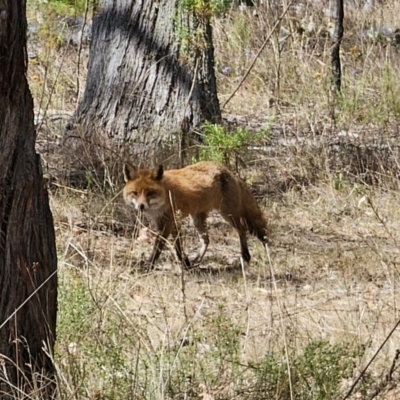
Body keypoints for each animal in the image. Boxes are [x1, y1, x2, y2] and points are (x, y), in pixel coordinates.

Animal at [122, 162, 268, 268]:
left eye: (150, 193)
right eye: (135, 193)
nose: (141, 206)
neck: (166, 193)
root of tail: (227, 170)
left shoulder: (168, 224)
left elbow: (158, 248)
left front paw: (148, 265)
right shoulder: (171, 223)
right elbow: (179, 248)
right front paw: (186, 264)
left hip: (229, 215)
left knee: (242, 230)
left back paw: (245, 257)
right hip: (197, 219)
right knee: (206, 240)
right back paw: (197, 260)